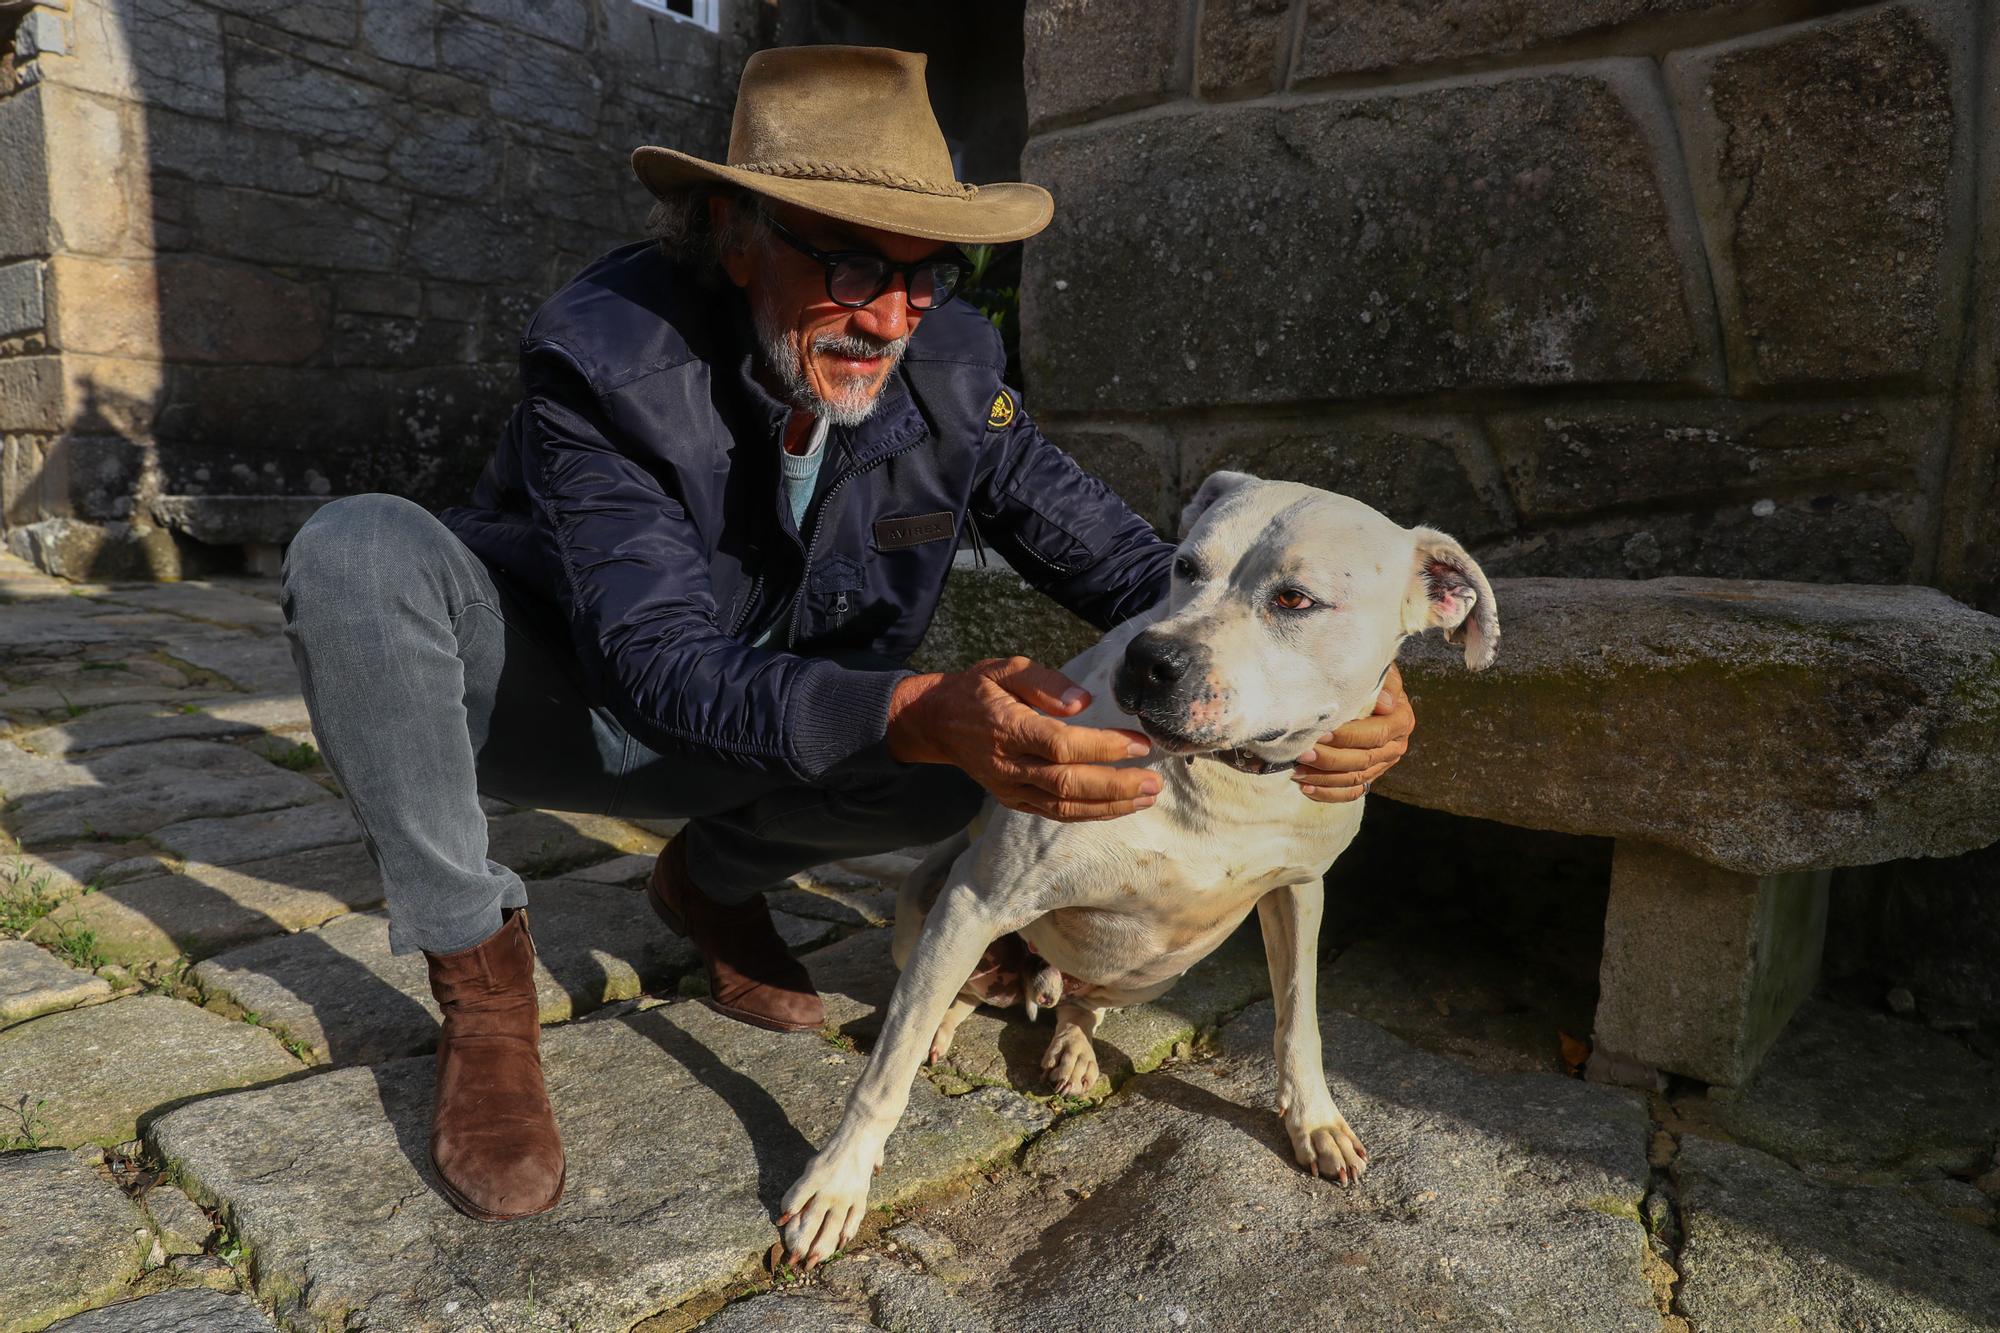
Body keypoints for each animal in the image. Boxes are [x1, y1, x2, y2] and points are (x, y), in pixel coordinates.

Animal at [772, 472, 1496, 1264]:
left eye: (1295, 599)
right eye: (1184, 566)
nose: (1151, 660)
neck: (1228, 781)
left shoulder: (1300, 893)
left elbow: (1298, 1017)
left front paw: (1315, 1121)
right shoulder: (978, 897)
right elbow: (884, 1074)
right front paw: (836, 1185)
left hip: (1162, 970)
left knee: (1079, 1000)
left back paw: (1072, 1047)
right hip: (932, 905)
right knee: (947, 991)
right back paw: (948, 1023)